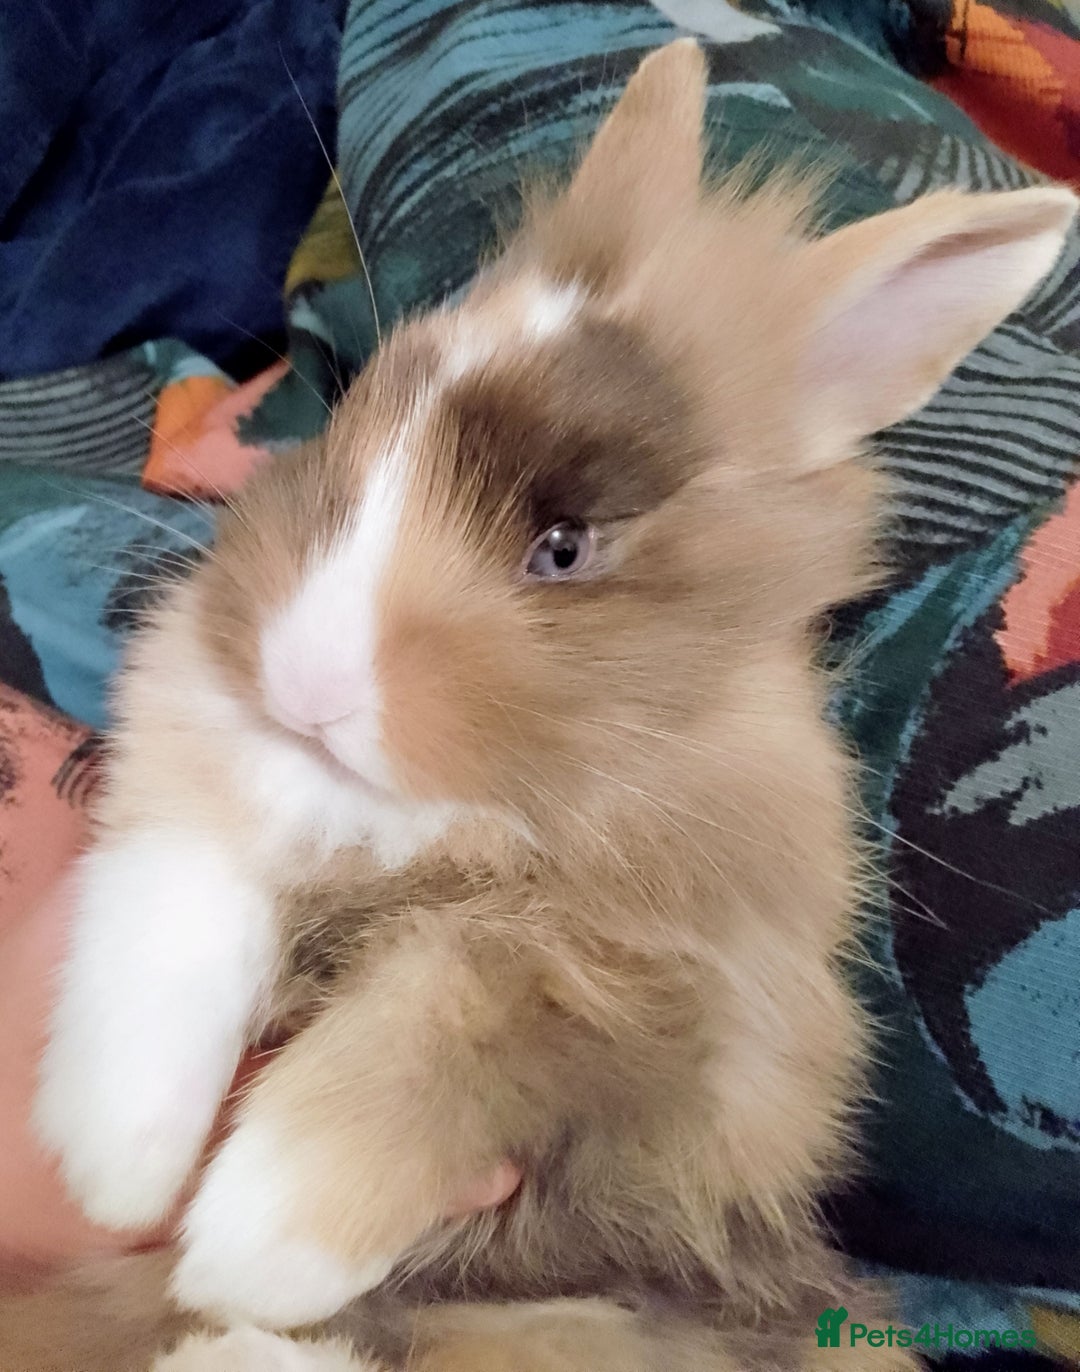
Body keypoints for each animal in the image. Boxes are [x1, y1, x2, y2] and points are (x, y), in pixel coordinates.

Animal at [9, 37, 1075, 1372]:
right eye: (348, 427)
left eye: (564, 549)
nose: (305, 686)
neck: (439, 805)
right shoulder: (194, 781)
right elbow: (169, 918)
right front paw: (117, 1168)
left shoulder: (652, 995)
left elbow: (455, 1012)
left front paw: (256, 1236)